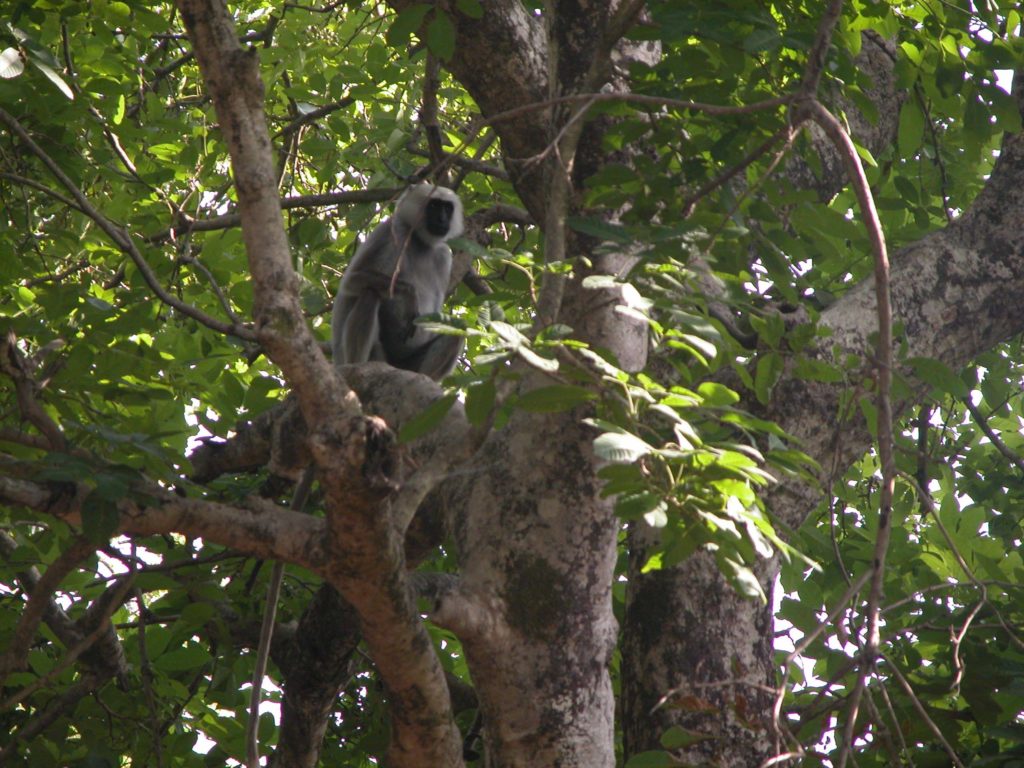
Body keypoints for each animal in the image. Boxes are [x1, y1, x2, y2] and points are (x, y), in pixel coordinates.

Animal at [331, 183, 464, 382]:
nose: (442, 220)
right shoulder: (391, 230)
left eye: (447, 208)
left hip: (407, 365)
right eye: (433, 206)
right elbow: (351, 280)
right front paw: (410, 295)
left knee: (458, 331)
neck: (418, 241)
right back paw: (358, 366)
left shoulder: (443, 255)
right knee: (370, 293)